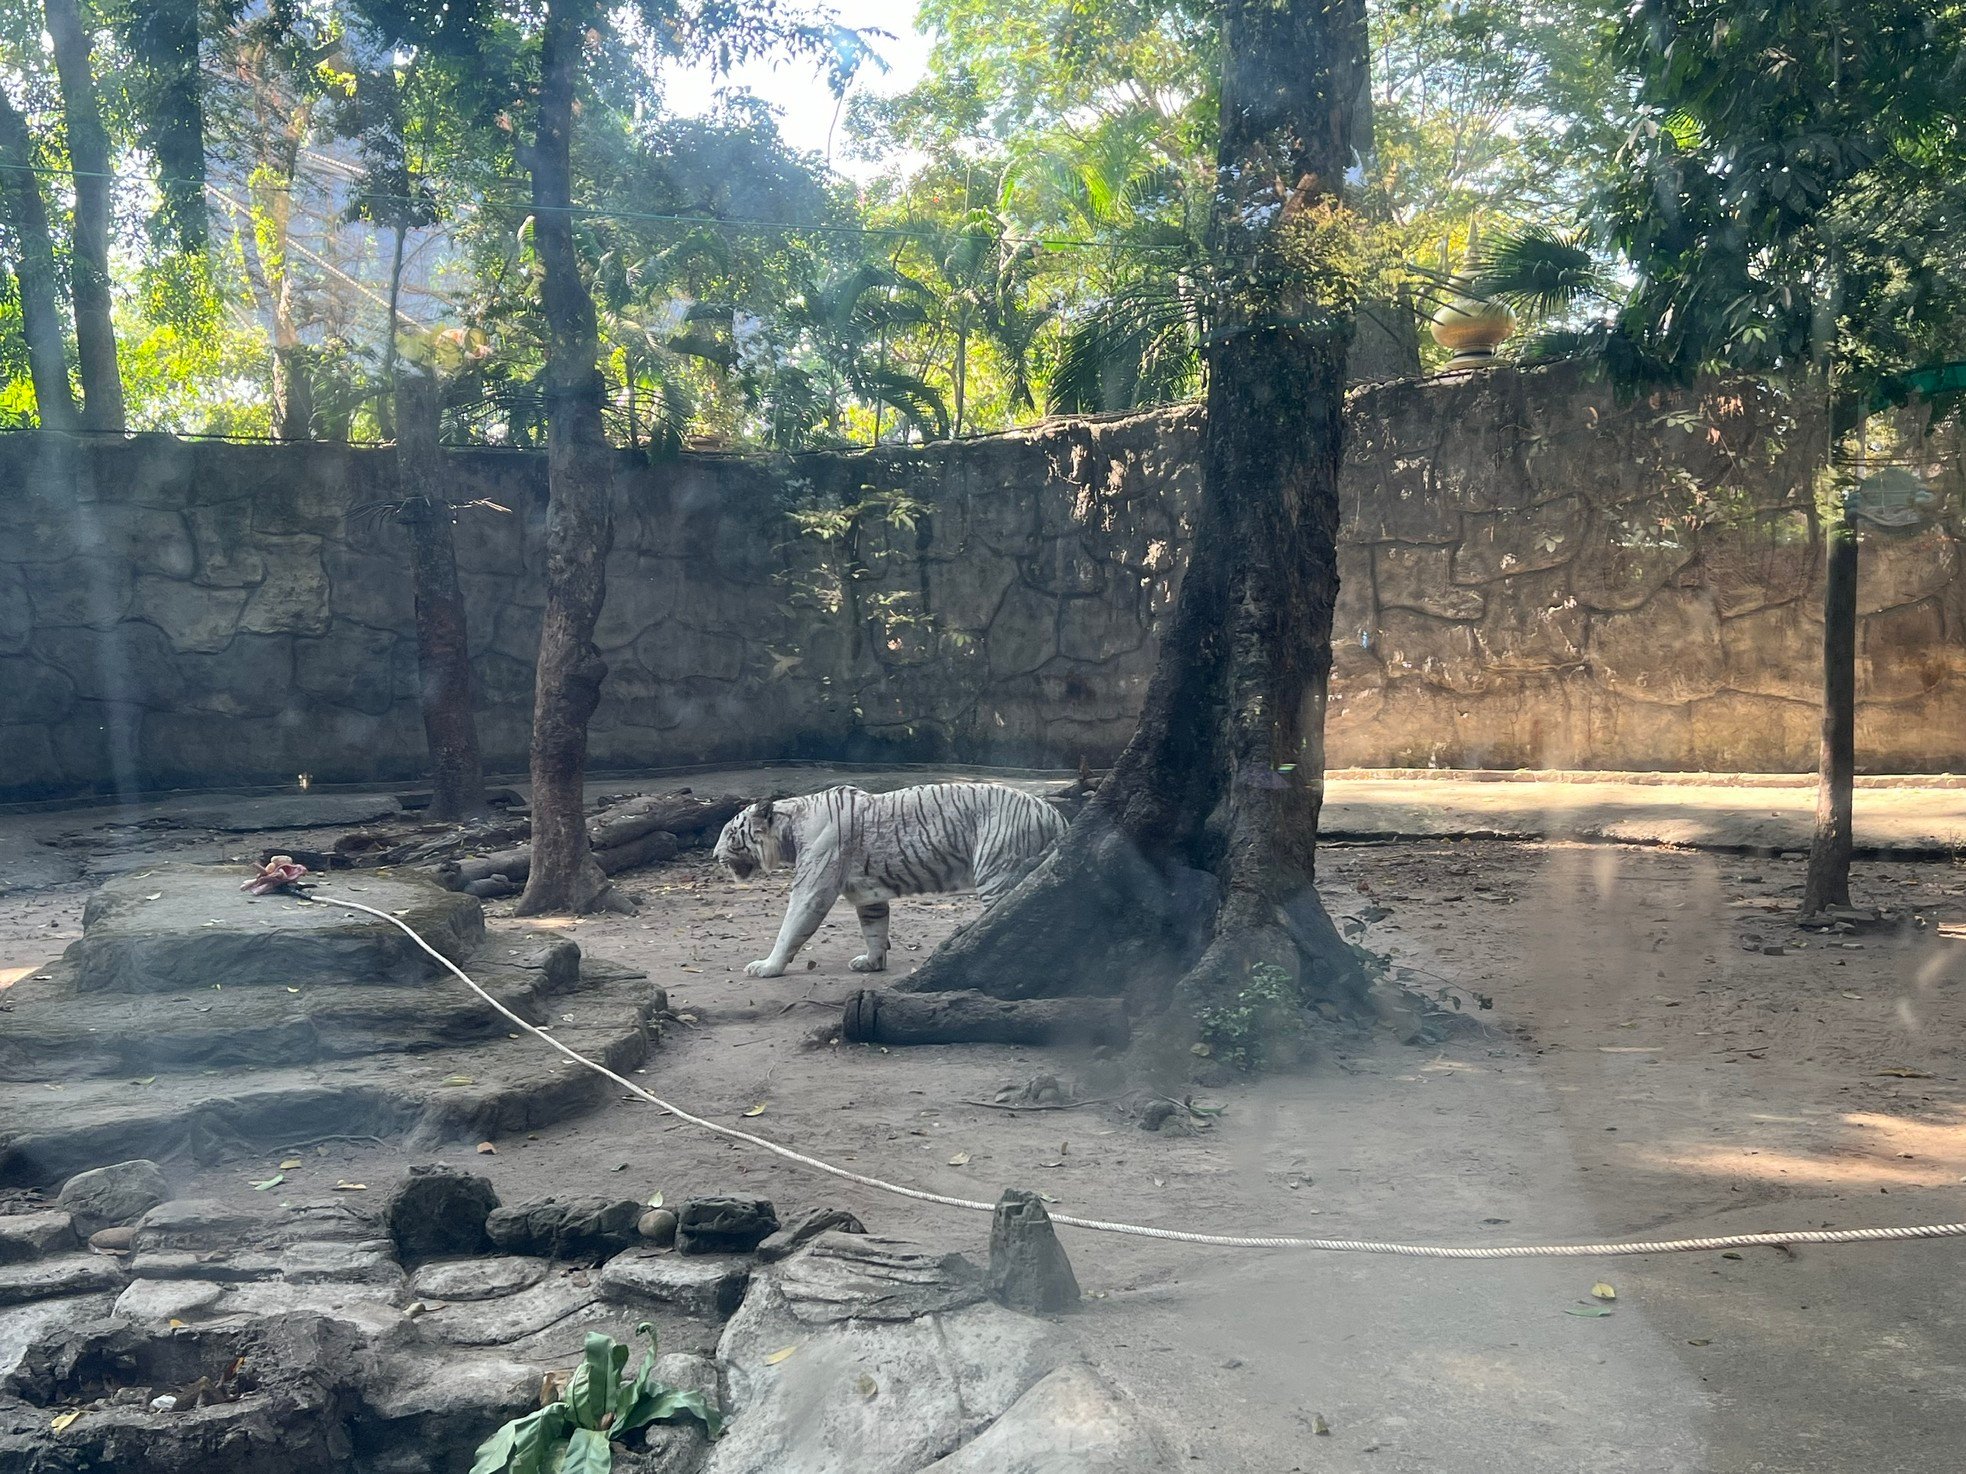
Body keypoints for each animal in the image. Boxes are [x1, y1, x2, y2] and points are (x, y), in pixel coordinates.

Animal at [711, 786, 1069, 982]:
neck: (790, 830)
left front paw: (767, 966)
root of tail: (1055, 814)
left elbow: (790, 928)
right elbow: (874, 928)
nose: (714, 855)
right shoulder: (868, 895)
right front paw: (871, 963)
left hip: (997, 871)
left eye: (729, 833)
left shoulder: (813, 887)